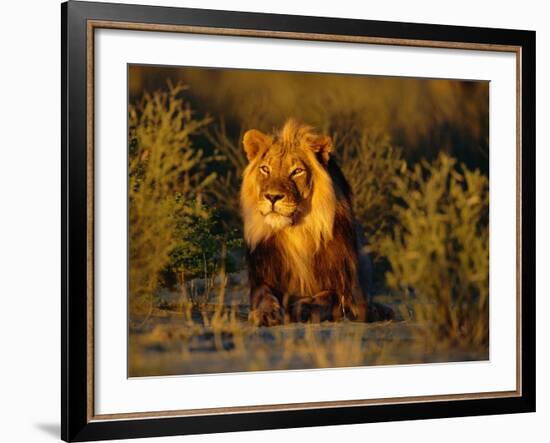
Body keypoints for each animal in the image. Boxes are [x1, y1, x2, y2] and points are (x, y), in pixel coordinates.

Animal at [242, 119, 376, 328]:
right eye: (265, 169)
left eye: (297, 171)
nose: (272, 197)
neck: (297, 232)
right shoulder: (262, 278)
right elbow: (264, 295)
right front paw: (266, 313)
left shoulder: (347, 290)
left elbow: (329, 297)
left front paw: (303, 307)